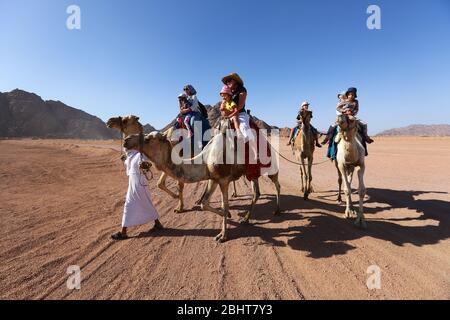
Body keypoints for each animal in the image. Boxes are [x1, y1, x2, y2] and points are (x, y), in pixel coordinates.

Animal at [123, 119, 282, 241]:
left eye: (148, 139)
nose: (126, 140)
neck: (205, 157)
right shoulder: (213, 178)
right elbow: (204, 204)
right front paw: (229, 216)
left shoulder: (223, 180)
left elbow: (224, 205)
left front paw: (223, 235)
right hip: (252, 173)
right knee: (256, 193)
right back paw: (246, 219)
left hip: (271, 166)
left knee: (277, 184)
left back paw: (277, 210)